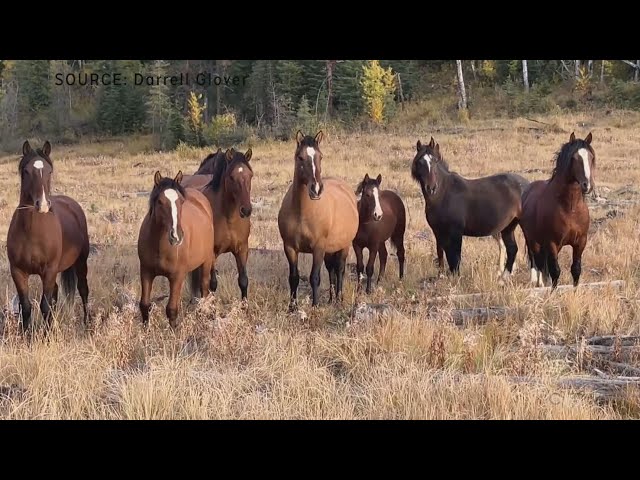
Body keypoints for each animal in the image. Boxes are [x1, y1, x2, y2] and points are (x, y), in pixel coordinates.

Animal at [6, 141, 90, 332]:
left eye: (50, 171)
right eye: (26, 171)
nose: (42, 204)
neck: (32, 232)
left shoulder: (50, 270)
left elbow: (44, 305)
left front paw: (47, 333)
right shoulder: (18, 272)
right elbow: (26, 306)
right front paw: (26, 334)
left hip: (80, 262)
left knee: (83, 290)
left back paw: (87, 323)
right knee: (56, 293)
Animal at [136, 170, 216, 330]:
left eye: (181, 202)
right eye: (160, 202)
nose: (176, 236)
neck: (159, 245)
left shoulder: (177, 276)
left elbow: (172, 309)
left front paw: (174, 333)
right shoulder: (146, 272)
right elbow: (144, 305)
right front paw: (145, 331)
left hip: (206, 262)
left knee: (204, 290)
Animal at [276, 131, 360, 312]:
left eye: (320, 157)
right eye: (300, 157)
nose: (316, 189)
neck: (302, 213)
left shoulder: (318, 247)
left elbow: (314, 277)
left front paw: (315, 306)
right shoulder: (290, 247)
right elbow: (294, 277)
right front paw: (292, 307)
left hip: (344, 246)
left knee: (340, 270)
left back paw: (339, 299)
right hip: (329, 250)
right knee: (331, 270)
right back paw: (330, 299)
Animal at [410, 137, 528, 284]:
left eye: (435, 161)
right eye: (420, 162)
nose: (431, 188)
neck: (443, 195)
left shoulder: (455, 232)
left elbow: (455, 256)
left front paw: (456, 278)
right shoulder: (438, 231)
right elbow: (441, 252)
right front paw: (441, 276)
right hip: (508, 227)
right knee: (512, 249)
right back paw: (503, 278)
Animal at [520, 131, 596, 288]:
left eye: (591, 157)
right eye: (575, 158)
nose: (587, 185)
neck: (570, 208)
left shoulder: (580, 242)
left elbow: (576, 270)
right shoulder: (552, 243)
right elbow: (555, 271)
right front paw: (552, 291)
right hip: (532, 240)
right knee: (537, 261)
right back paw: (538, 283)